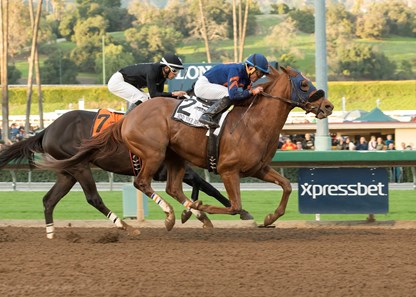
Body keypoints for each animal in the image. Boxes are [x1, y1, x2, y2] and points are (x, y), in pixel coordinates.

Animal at [40, 66, 334, 230]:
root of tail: (127, 120)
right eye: (304, 84)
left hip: (168, 158)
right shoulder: (228, 169)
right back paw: (163, 218)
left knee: (171, 187)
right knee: (136, 185)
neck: (252, 122)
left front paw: (271, 217)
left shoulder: (258, 168)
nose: (328, 105)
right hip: (146, 155)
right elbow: (233, 205)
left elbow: (286, 186)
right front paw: (207, 211)